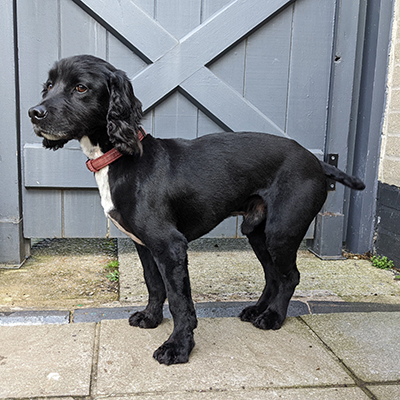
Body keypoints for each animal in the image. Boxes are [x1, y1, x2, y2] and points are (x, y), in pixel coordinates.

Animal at [28, 54, 366, 364]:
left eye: (81, 87)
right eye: (49, 85)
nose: (34, 113)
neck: (123, 158)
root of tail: (317, 161)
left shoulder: (170, 245)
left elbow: (180, 301)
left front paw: (177, 347)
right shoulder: (145, 245)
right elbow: (155, 286)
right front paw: (151, 318)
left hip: (282, 231)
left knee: (290, 276)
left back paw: (273, 317)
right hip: (257, 231)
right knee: (273, 275)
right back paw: (259, 309)